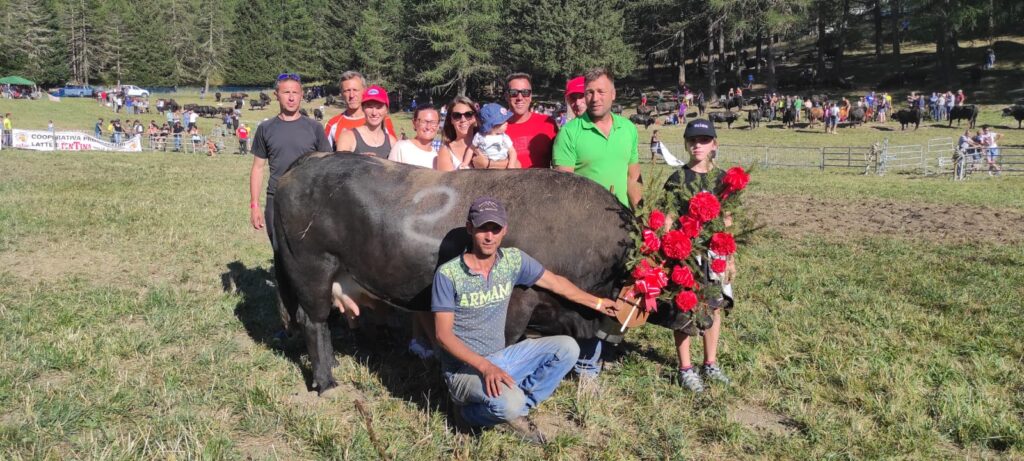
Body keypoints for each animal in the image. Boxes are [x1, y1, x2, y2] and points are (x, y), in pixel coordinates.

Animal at [270, 153, 696, 393]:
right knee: (313, 321)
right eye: (684, 272)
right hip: (312, 269)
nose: (707, 316)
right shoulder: (519, 301)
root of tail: (309, 161)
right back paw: (326, 382)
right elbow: (503, 344)